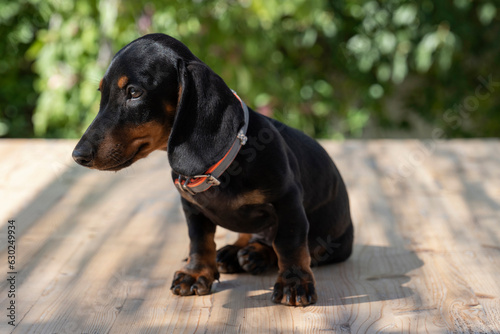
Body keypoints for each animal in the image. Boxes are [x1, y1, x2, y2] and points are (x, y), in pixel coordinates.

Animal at [72, 33, 354, 306]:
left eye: (134, 92)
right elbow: (199, 240)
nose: (78, 155)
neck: (221, 168)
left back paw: (257, 254)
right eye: (101, 92)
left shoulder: (288, 200)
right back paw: (234, 252)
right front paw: (196, 273)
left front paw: (294, 282)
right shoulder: (192, 207)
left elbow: (289, 243)